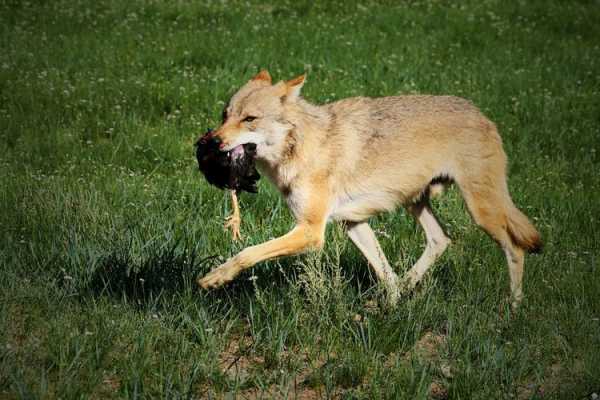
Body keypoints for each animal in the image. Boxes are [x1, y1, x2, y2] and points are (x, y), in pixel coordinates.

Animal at [198, 70, 544, 308]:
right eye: (225, 115)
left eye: (249, 119)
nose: (212, 142)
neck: (302, 145)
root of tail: (483, 115)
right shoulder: (352, 223)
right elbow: (384, 272)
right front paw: (390, 306)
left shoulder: (312, 232)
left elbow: (246, 253)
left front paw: (215, 278)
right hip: (416, 204)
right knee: (441, 240)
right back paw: (407, 286)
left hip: (481, 212)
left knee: (515, 249)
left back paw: (513, 307)